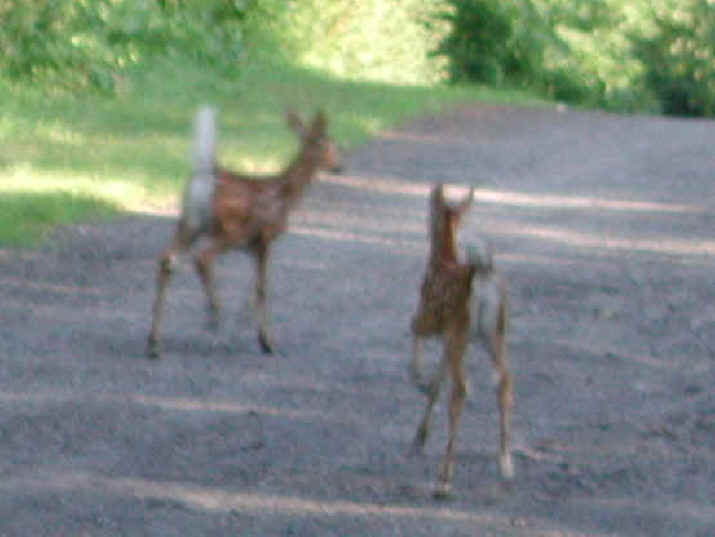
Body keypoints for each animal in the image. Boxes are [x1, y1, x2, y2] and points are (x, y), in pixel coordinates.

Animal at [147, 106, 342, 359]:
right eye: (329, 145)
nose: (340, 166)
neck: (286, 196)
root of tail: (206, 175)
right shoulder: (265, 237)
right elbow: (262, 289)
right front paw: (266, 341)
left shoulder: (252, 246)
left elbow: (253, 289)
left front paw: (251, 327)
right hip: (227, 230)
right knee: (203, 258)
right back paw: (215, 319)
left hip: (188, 224)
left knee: (166, 259)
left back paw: (154, 343)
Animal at [409, 183, 514, 498]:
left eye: (429, 211)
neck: (443, 259)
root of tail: (482, 278)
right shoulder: (446, 336)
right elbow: (436, 383)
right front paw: (420, 436)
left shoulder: (430, 320)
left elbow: (414, 336)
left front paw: (417, 378)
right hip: (495, 331)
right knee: (505, 381)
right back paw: (505, 463)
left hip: (461, 330)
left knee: (461, 388)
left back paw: (444, 479)